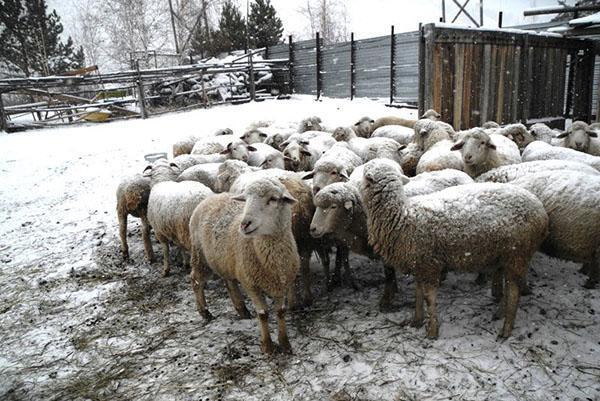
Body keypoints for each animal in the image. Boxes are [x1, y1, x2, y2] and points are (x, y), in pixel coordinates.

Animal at [189, 178, 298, 354]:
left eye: (273, 199)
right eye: (245, 200)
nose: (245, 224)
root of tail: (211, 197)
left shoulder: (281, 283)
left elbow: (281, 312)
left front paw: (285, 344)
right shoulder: (250, 284)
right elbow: (263, 313)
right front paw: (267, 346)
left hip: (225, 261)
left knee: (228, 282)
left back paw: (241, 309)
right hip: (200, 256)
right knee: (196, 280)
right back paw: (205, 312)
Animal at [358, 159, 552, 338]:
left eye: (364, 173)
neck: (402, 215)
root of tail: (541, 211)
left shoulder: (429, 265)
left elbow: (429, 298)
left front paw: (432, 331)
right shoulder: (419, 264)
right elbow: (418, 294)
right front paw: (416, 320)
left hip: (516, 253)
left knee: (513, 292)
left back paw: (506, 329)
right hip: (509, 256)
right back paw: (499, 313)